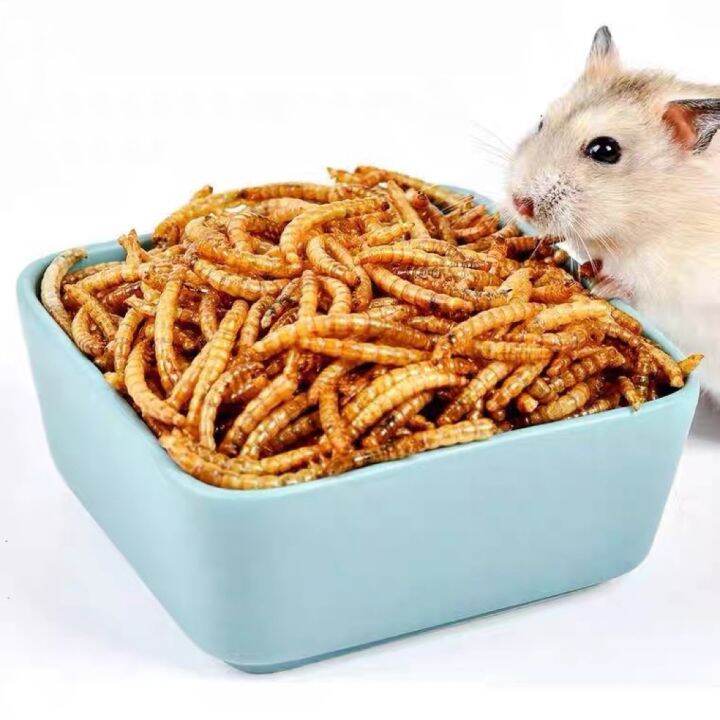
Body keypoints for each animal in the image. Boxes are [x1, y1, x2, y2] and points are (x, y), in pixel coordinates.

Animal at [506, 26, 720, 401]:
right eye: (542, 121)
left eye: (605, 150)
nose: (519, 204)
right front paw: (587, 268)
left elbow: (640, 284)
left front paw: (601, 286)